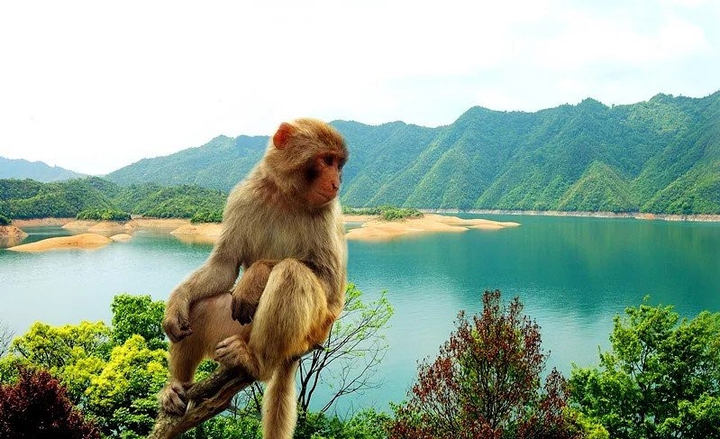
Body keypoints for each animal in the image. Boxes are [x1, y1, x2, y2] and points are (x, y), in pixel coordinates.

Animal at [160, 117, 348, 439]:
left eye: (338, 163)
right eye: (327, 160)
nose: (337, 182)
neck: (286, 195)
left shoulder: (328, 211)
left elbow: (330, 284)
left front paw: (256, 275)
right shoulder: (242, 197)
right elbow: (223, 267)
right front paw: (177, 303)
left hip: (313, 330)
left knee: (291, 272)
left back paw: (257, 363)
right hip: (240, 328)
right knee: (203, 307)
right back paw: (178, 387)